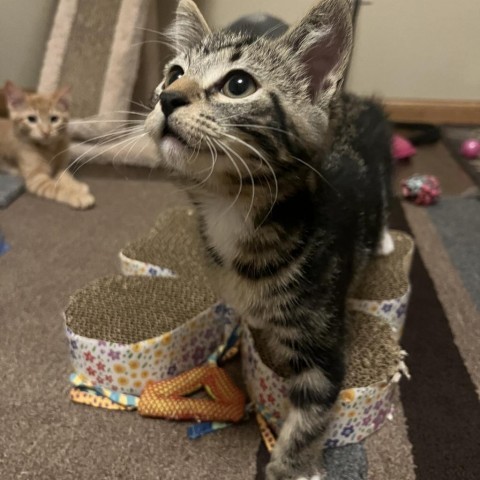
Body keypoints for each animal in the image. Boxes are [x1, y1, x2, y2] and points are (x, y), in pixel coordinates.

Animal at [0, 81, 94, 209]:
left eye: (54, 119)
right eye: (31, 119)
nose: (46, 132)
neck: (49, 148)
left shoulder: (61, 167)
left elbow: (66, 177)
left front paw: (76, 186)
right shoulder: (37, 179)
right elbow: (56, 187)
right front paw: (77, 195)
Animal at [146, 1, 394, 478]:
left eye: (238, 85)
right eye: (173, 73)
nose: (167, 98)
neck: (232, 208)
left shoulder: (323, 343)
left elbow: (310, 414)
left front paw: (291, 466)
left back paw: (386, 238)